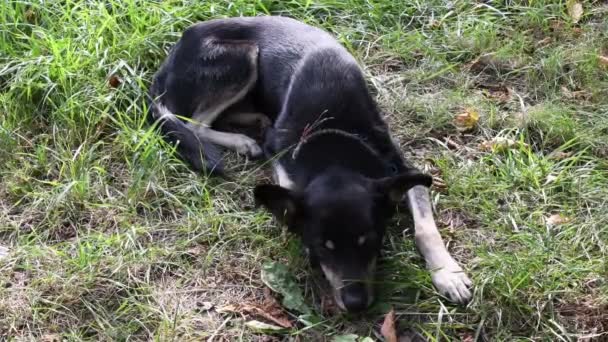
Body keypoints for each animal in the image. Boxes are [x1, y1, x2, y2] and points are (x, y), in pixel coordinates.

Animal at [150, 16, 472, 312]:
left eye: (368, 241)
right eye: (322, 248)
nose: (355, 304)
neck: (331, 137)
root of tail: (172, 55)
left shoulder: (401, 168)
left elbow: (425, 227)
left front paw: (448, 273)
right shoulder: (282, 155)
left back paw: (254, 121)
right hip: (242, 56)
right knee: (193, 123)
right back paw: (242, 140)